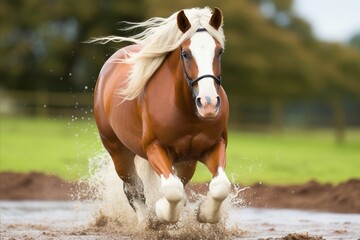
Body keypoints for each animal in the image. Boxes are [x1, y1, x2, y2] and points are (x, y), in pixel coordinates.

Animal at [93, 7, 231, 225]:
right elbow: (172, 190)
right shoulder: (154, 148)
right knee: (134, 189)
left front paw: (204, 213)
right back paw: (145, 223)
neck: (186, 112)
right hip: (118, 152)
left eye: (219, 51)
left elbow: (220, 186)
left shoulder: (214, 146)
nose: (208, 104)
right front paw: (161, 213)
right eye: (185, 53)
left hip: (186, 162)